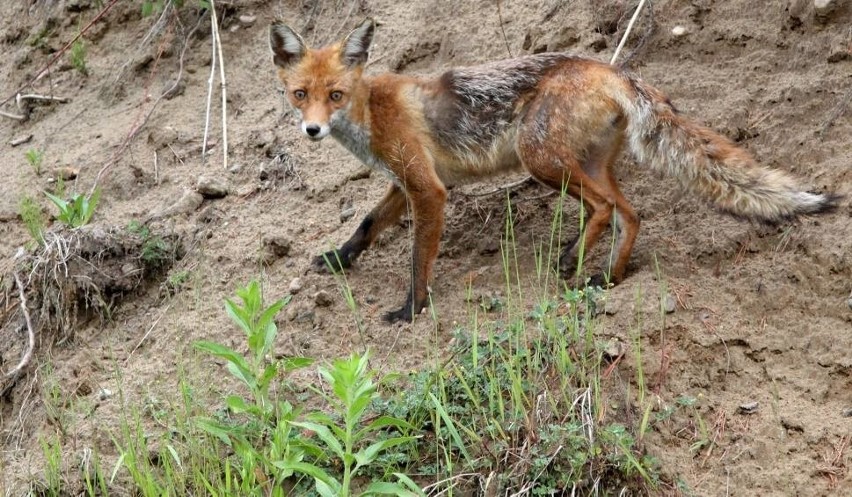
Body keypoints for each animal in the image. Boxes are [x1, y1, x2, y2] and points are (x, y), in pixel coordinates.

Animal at [268, 17, 840, 322]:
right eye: (300, 94)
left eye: (334, 95)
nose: (312, 130)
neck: (370, 111)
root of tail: (611, 69)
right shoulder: (408, 181)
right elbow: (367, 224)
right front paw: (338, 259)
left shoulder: (428, 189)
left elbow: (416, 259)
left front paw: (412, 309)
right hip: (583, 163)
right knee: (631, 214)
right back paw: (607, 277)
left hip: (539, 159)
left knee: (605, 208)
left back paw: (572, 260)